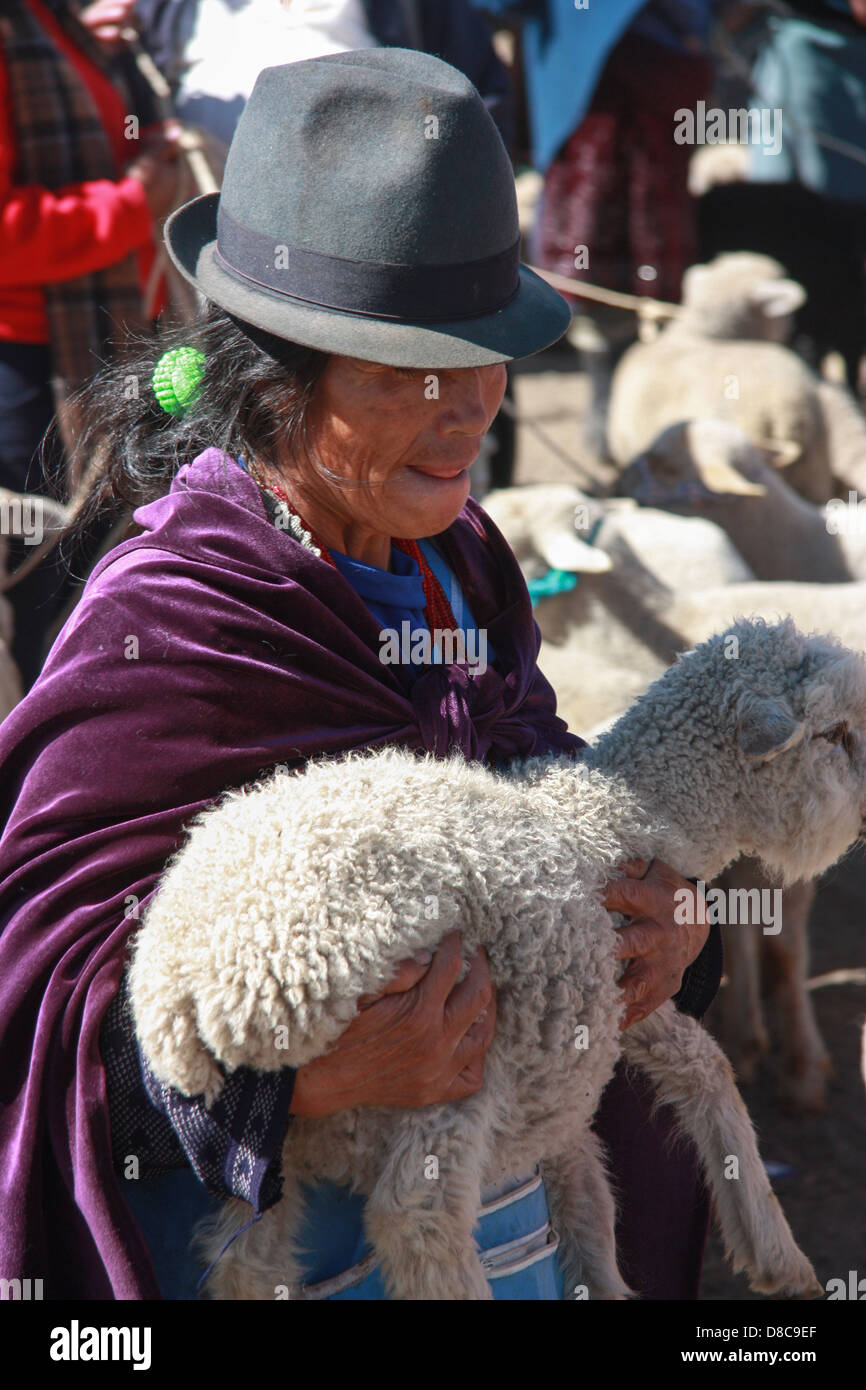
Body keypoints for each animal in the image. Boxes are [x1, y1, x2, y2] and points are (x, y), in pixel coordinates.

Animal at [127, 614, 866, 1295]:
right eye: (835, 735)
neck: (617, 808)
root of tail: (184, 996)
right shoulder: (618, 977)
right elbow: (707, 1068)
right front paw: (777, 1253)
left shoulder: (575, 1041)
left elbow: (586, 1188)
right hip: (440, 1048)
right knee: (415, 1215)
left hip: (288, 1136)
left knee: (243, 1257)